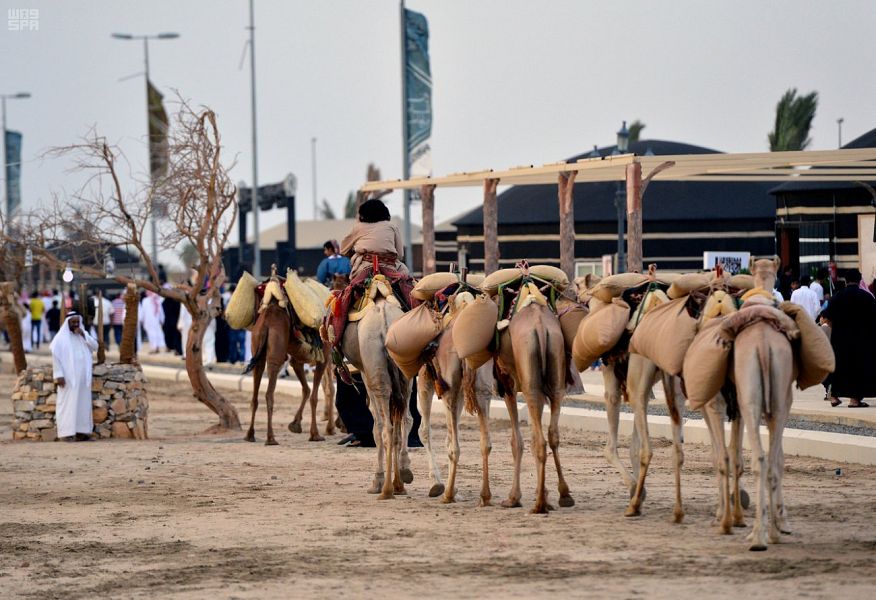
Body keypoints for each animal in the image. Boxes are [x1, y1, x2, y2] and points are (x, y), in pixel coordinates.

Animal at [245, 298, 334, 442]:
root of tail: (266, 321)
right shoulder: (324, 358)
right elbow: (315, 396)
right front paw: (315, 434)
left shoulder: (297, 360)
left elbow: (306, 390)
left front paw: (295, 424)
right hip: (276, 355)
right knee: (269, 393)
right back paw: (271, 438)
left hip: (257, 351)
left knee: (255, 396)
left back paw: (250, 434)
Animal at [338, 286, 414, 496]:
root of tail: (385, 324)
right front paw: (399, 484)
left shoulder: (366, 373)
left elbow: (376, 427)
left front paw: (378, 481)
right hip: (404, 371)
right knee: (405, 419)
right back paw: (404, 471)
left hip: (376, 370)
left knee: (385, 427)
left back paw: (385, 489)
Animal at [416, 318, 492, 506]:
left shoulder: (424, 376)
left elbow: (422, 430)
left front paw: (436, 483)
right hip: (480, 386)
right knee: (484, 442)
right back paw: (484, 496)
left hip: (448, 388)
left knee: (452, 446)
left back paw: (448, 494)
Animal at [492, 302, 576, 512]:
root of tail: (539, 325)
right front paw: (544, 492)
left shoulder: (508, 387)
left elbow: (517, 442)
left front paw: (513, 498)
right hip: (555, 377)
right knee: (552, 434)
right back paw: (564, 495)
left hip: (529, 381)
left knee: (540, 440)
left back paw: (539, 505)